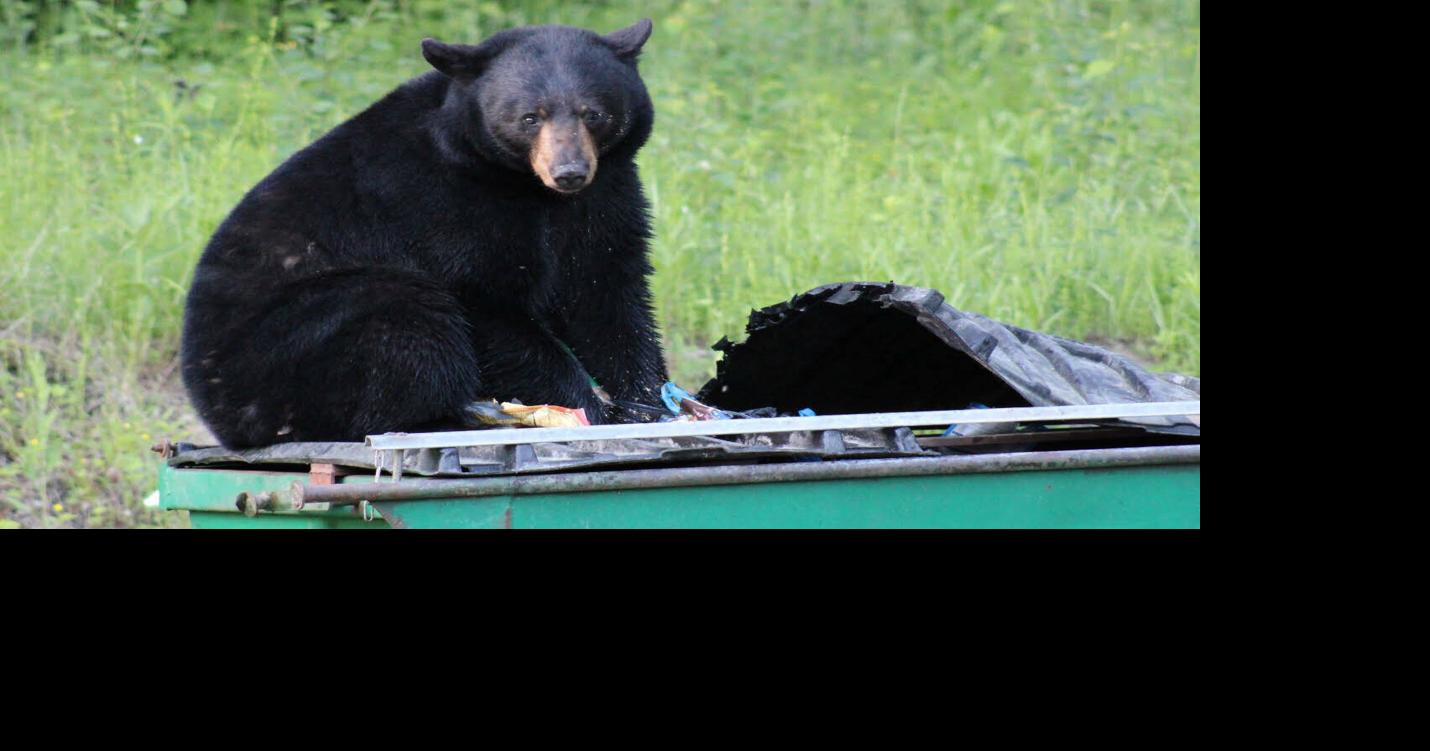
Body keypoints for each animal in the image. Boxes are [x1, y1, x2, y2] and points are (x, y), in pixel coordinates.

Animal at [180, 19, 668, 448]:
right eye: (530, 117)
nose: (569, 172)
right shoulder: (441, 203)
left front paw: (647, 403)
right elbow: (486, 300)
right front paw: (589, 408)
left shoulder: (604, 193)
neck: (527, 187)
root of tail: (220, 417)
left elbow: (606, 291)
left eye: (593, 114)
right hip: (290, 346)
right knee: (404, 318)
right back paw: (458, 414)